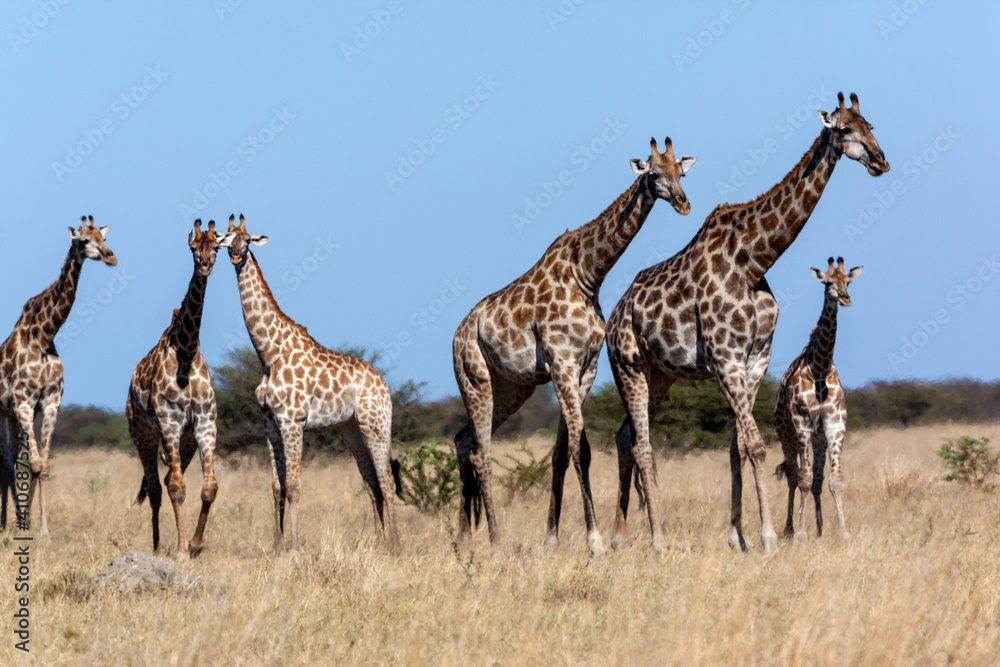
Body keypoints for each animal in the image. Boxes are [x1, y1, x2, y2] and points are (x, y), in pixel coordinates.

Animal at [0, 216, 117, 533]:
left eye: (103, 237)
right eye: (83, 240)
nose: (110, 256)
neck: (43, 336)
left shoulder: (50, 403)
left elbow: (43, 466)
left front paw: (40, 527)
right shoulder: (24, 402)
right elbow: (35, 464)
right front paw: (29, 525)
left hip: (11, 415)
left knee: (12, 459)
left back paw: (16, 520)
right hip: (3, 411)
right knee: (5, 462)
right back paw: (4, 524)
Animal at [127, 220, 233, 559]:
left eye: (217, 247)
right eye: (192, 248)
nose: (205, 265)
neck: (186, 349)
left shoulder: (205, 422)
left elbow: (209, 487)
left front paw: (195, 543)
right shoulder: (170, 422)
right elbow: (176, 488)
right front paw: (183, 550)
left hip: (184, 441)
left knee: (163, 479)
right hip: (144, 435)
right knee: (156, 487)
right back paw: (159, 546)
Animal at [222, 214, 400, 551]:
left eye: (248, 239)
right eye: (225, 238)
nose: (236, 256)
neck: (269, 354)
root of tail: (383, 384)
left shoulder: (293, 420)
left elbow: (293, 486)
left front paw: (294, 546)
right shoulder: (269, 422)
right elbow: (276, 487)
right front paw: (277, 545)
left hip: (376, 424)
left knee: (387, 481)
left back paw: (396, 544)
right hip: (351, 429)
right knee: (372, 483)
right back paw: (379, 542)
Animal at [452, 137, 696, 554]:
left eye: (680, 171)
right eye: (652, 174)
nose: (682, 202)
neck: (588, 274)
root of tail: (457, 334)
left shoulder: (585, 370)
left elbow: (564, 452)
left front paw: (553, 538)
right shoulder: (562, 365)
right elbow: (580, 451)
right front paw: (594, 541)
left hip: (512, 388)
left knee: (463, 439)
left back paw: (466, 537)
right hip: (475, 379)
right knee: (480, 451)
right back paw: (495, 540)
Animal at [774, 257, 861, 541]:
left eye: (848, 281)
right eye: (827, 282)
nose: (845, 298)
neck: (820, 368)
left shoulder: (835, 425)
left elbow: (833, 480)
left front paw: (843, 534)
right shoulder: (801, 425)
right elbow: (802, 479)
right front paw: (801, 534)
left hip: (819, 438)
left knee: (817, 481)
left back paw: (820, 529)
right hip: (786, 434)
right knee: (793, 477)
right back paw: (790, 529)